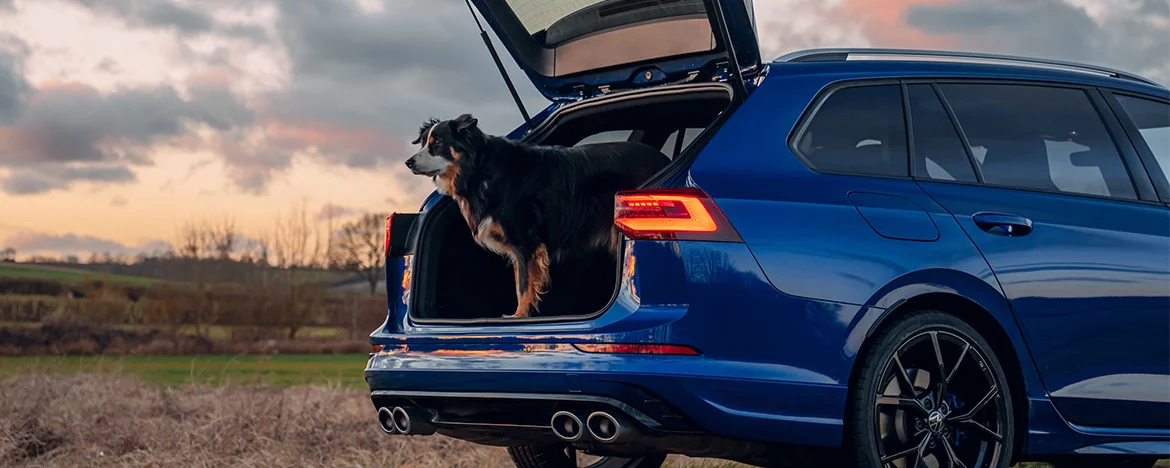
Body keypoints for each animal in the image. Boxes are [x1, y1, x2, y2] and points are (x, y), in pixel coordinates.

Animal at [404, 114, 669, 318]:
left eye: (438, 143)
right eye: (423, 143)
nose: (408, 162)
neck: (481, 169)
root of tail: (663, 159)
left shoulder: (525, 241)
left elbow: (523, 284)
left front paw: (519, 316)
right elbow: (520, 281)